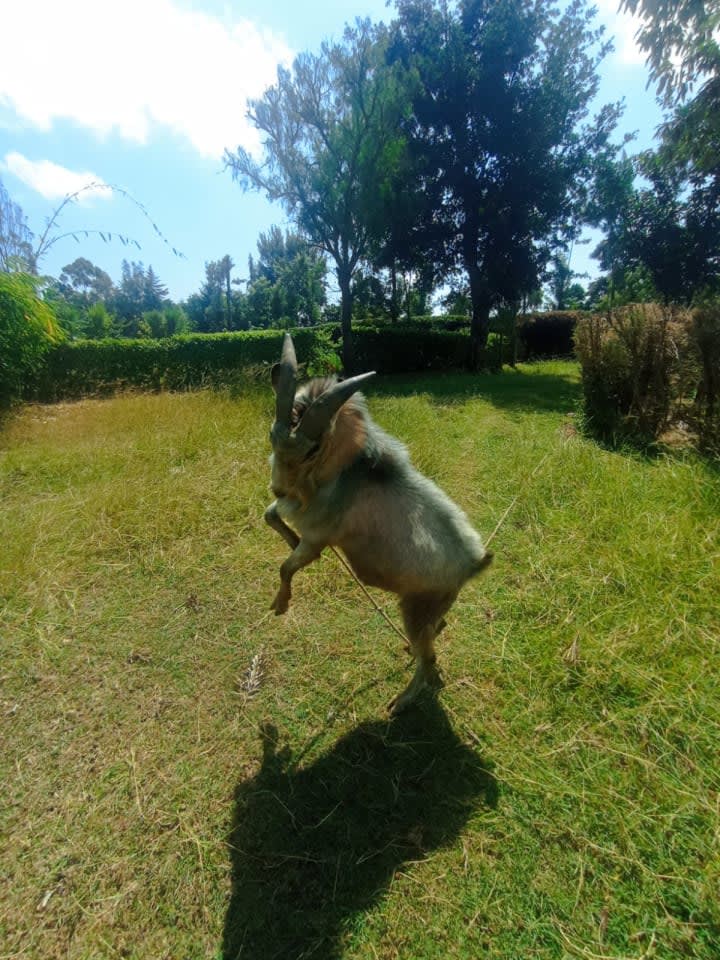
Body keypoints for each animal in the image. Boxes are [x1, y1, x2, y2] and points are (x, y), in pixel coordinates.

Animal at [264, 334, 493, 714]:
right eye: (272, 435)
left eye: (312, 450)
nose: (277, 486)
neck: (347, 469)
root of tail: (473, 564)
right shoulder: (294, 507)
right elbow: (270, 515)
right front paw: (287, 537)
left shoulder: (317, 536)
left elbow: (287, 566)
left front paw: (280, 605)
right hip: (430, 608)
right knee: (435, 635)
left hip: (416, 608)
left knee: (430, 663)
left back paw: (400, 703)